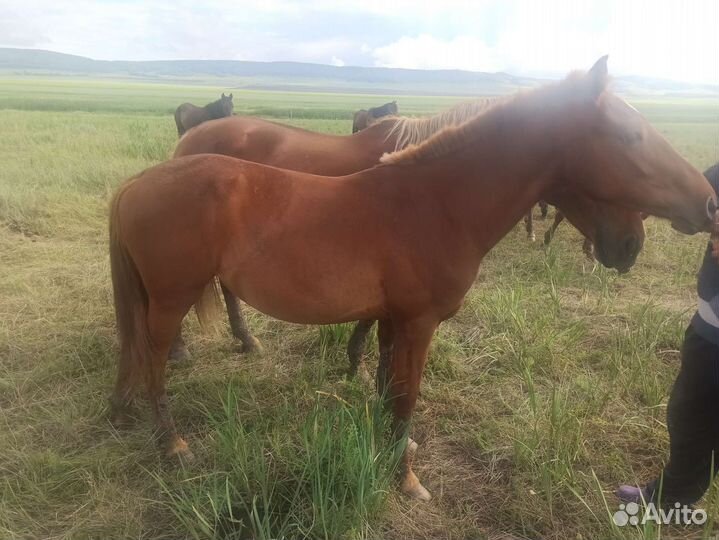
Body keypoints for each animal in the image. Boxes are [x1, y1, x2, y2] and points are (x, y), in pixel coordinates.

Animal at [109, 57, 716, 501]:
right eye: (632, 136)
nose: (708, 204)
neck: (434, 203)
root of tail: (137, 183)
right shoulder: (420, 323)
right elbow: (406, 395)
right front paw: (405, 478)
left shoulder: (391, 319)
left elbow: (385, 386)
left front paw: (389, 450)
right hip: (170, 300)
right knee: (152, 360)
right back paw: (173, 444)